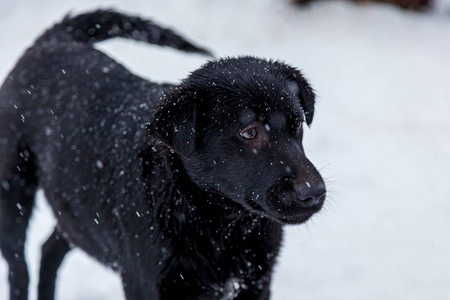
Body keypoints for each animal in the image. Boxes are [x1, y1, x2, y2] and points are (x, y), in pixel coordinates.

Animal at [0, 9, 326, 300]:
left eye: (297, 125)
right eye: (249, 132)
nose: (313, 192)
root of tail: (52, 40)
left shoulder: (257, 283)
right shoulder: (147, 284)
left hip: (77, 214)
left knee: (50, 249)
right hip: (13, 195)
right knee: (19, 269)